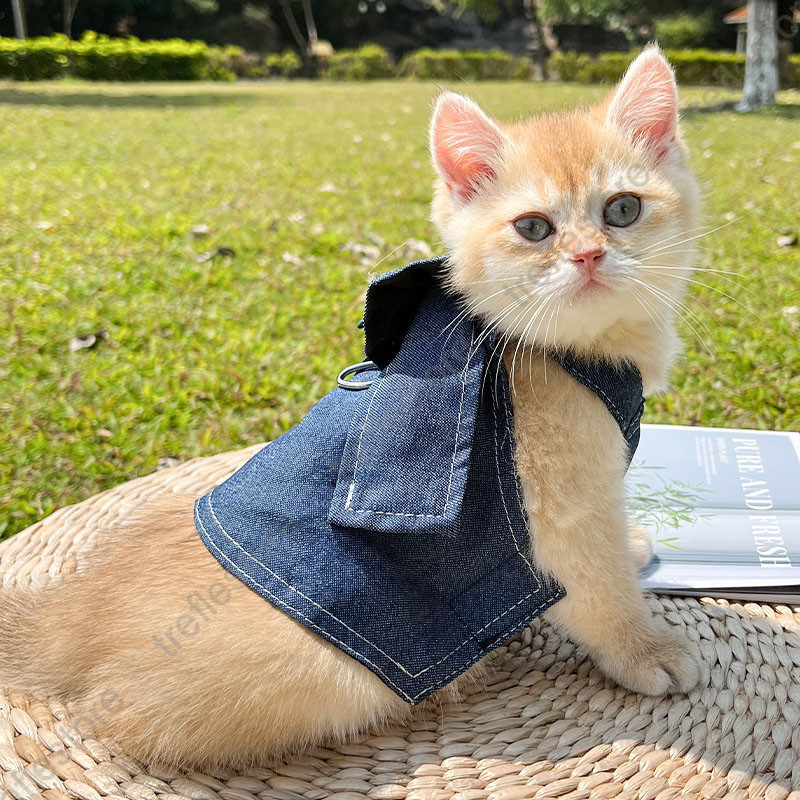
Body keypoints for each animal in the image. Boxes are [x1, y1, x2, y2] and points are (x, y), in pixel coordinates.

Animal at [0, 47, 700, 772]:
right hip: (320, 670)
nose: (589, 254)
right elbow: (599, 588)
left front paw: (636, 544)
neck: (568, 351)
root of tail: (69, 612)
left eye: (622, 208)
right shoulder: (561, 514)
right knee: (125, 720)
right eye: (534, 227)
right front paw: (643, 650)